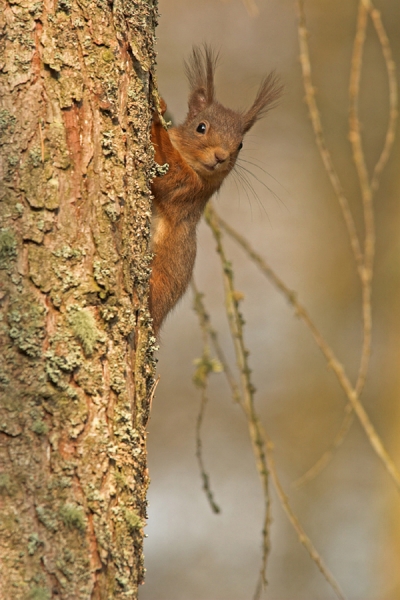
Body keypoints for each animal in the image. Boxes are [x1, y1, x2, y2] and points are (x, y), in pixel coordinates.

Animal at [149, 47, 282, 336]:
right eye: (201, 127)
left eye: (240, 144)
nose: (221, 156)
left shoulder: (189, 189)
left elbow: (166, 173)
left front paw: (156, 112)